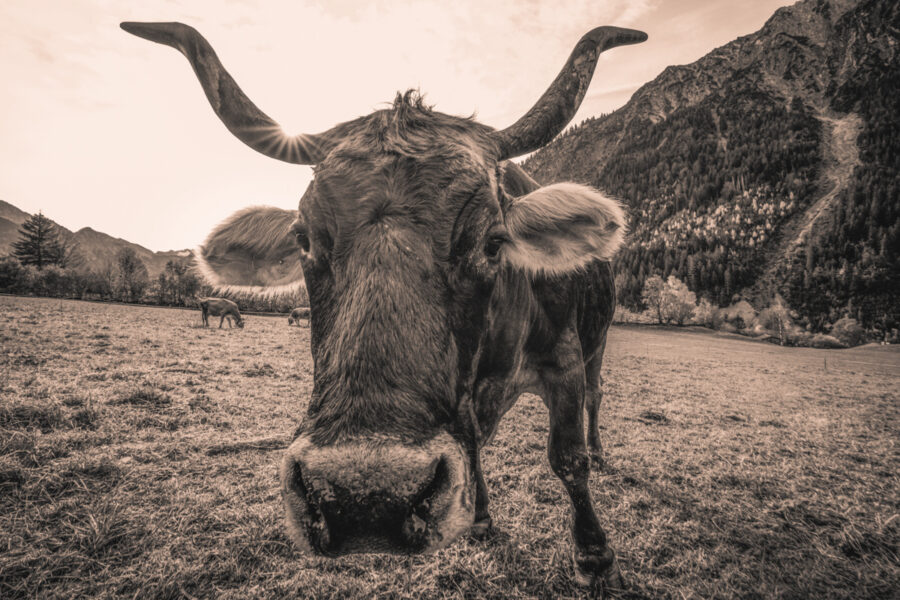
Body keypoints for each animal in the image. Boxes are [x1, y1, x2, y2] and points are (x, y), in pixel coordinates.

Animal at [125, 19, 648, 592]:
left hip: (596, 344)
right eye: (303, 238)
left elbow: (568, 460)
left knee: (596, 400)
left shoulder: (564, 361)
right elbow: (473, 449)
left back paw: (599, 451)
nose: (364, 498)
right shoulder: (464, 399)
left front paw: (594, 557)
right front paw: (481, 519)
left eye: (493, 242)